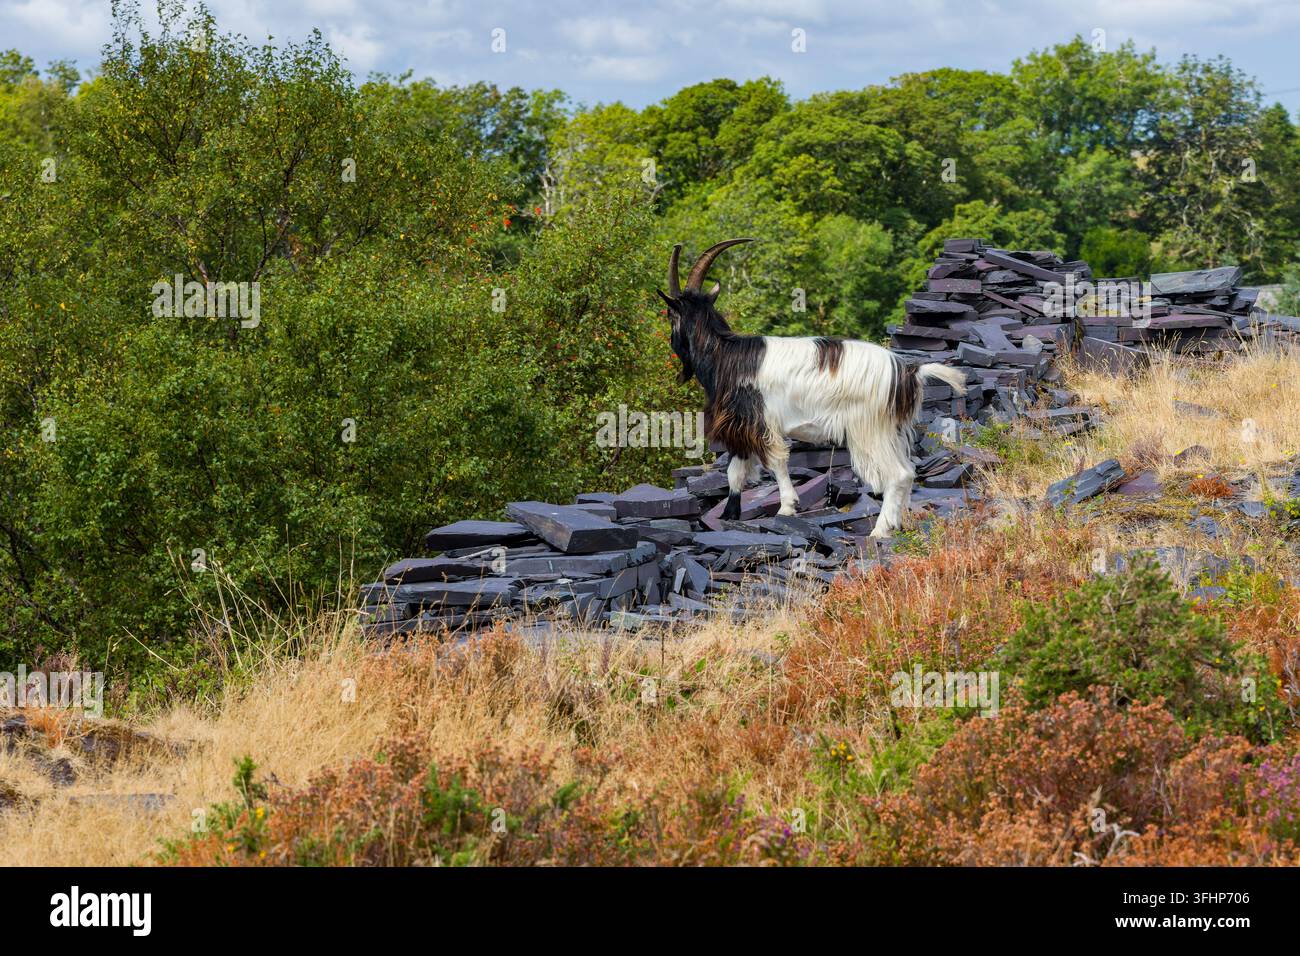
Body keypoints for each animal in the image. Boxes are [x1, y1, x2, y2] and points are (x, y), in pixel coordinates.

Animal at [658, 238, 968, 537]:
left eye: (670, 315)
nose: (673, 344)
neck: (725, 355)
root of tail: (907, 372)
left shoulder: (758, 421)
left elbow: (776, 461)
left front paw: (786, 507)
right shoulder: (741, 427)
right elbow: (736, 471)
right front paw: (729, 515)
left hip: (869, 428)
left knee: (899, 474)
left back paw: (880, 530)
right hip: (891, 429)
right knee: (910, 472)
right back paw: (898, 523)